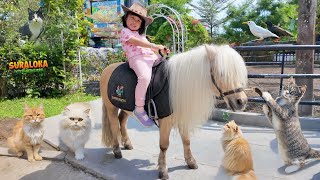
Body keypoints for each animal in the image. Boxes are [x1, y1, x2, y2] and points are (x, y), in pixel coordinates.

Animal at [99, 44, 248, 179]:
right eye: (222, 73)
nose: (242, 101)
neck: (175, 87)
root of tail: (107, 69)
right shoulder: (165, 121)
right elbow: (164, 145)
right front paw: (163, 170)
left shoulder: (183, 119)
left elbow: (187, 141)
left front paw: (191, 162)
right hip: (111, 107)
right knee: (114, 126)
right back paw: (117, 150)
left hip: (126, 107)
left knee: (122, 122)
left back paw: (127, 144)